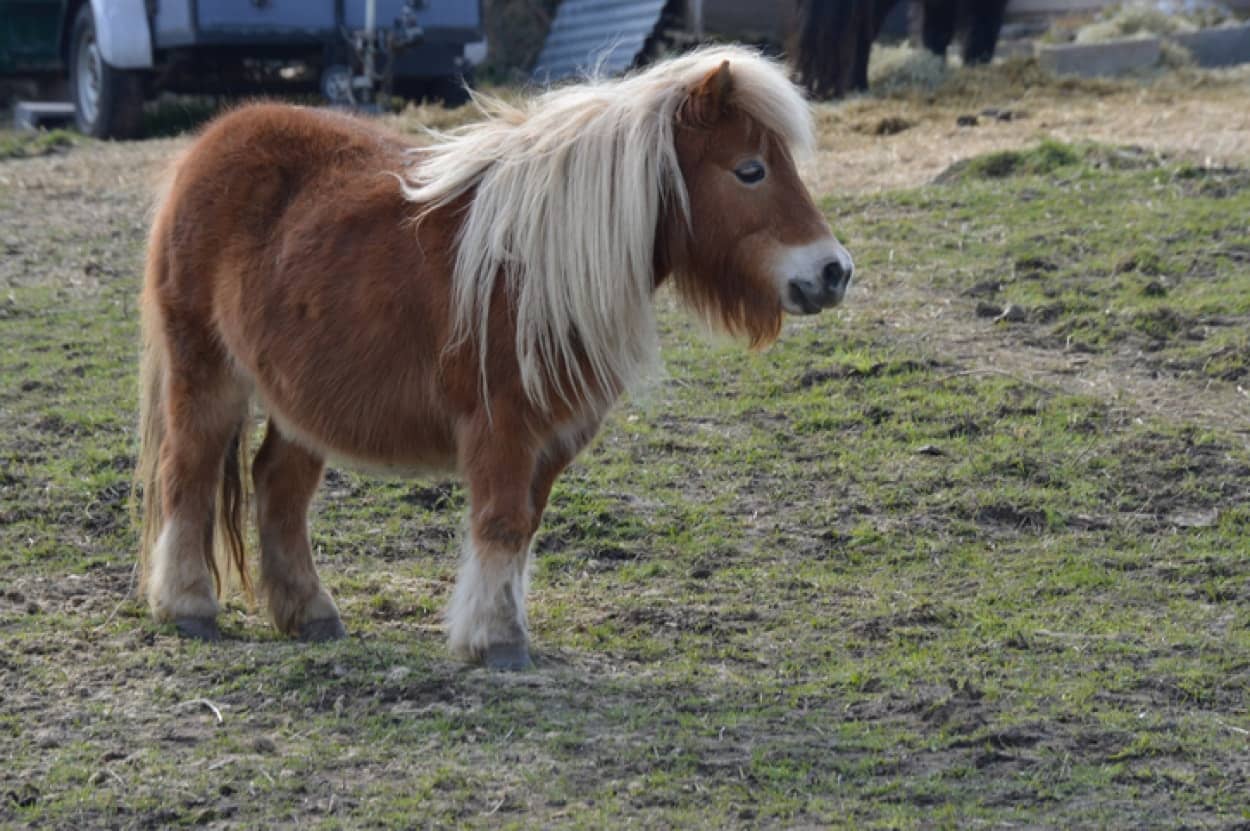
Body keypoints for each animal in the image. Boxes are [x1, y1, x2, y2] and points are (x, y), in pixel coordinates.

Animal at [136, 43, 855, 669]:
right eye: (750, 170)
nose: (834, 271)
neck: (541, 264)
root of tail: (208, 143)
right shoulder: (501, 426)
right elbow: (501, 524)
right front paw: (497, 642)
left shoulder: (555, 435)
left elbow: (524, 527)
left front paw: (499, 629)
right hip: (206, 371)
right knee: (188, 475)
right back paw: (189, 606)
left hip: (301, 401)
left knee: (278, 488)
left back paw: (310, 614)